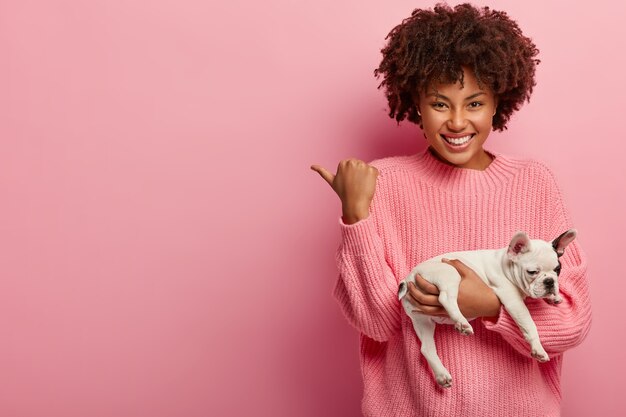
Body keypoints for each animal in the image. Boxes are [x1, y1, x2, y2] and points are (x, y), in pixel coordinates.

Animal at [400, 229, 576, 386]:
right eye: (532, 272)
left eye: (558, 270)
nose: (549, 282)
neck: (507, 265)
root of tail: (409, 277)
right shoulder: (512, 299)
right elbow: (529, 324)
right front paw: (538, 349)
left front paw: (554, 297)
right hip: (449, 273)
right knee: (446, 297)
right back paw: (462, 323)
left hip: (422, 321)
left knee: (426, 348)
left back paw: (441, 375)